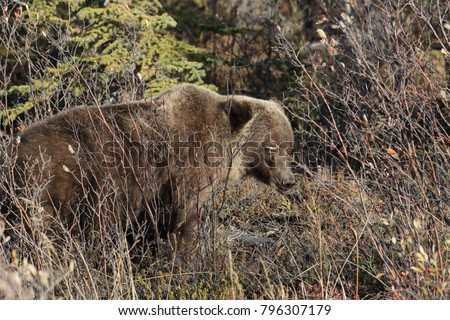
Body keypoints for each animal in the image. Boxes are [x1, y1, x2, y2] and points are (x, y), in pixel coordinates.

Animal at [1, 84, 298, 248]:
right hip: (62, 185)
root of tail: (12, 152)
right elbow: (182, 218)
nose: (289, 181)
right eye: (271, 147)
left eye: (289, 146)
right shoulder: (184, 171)